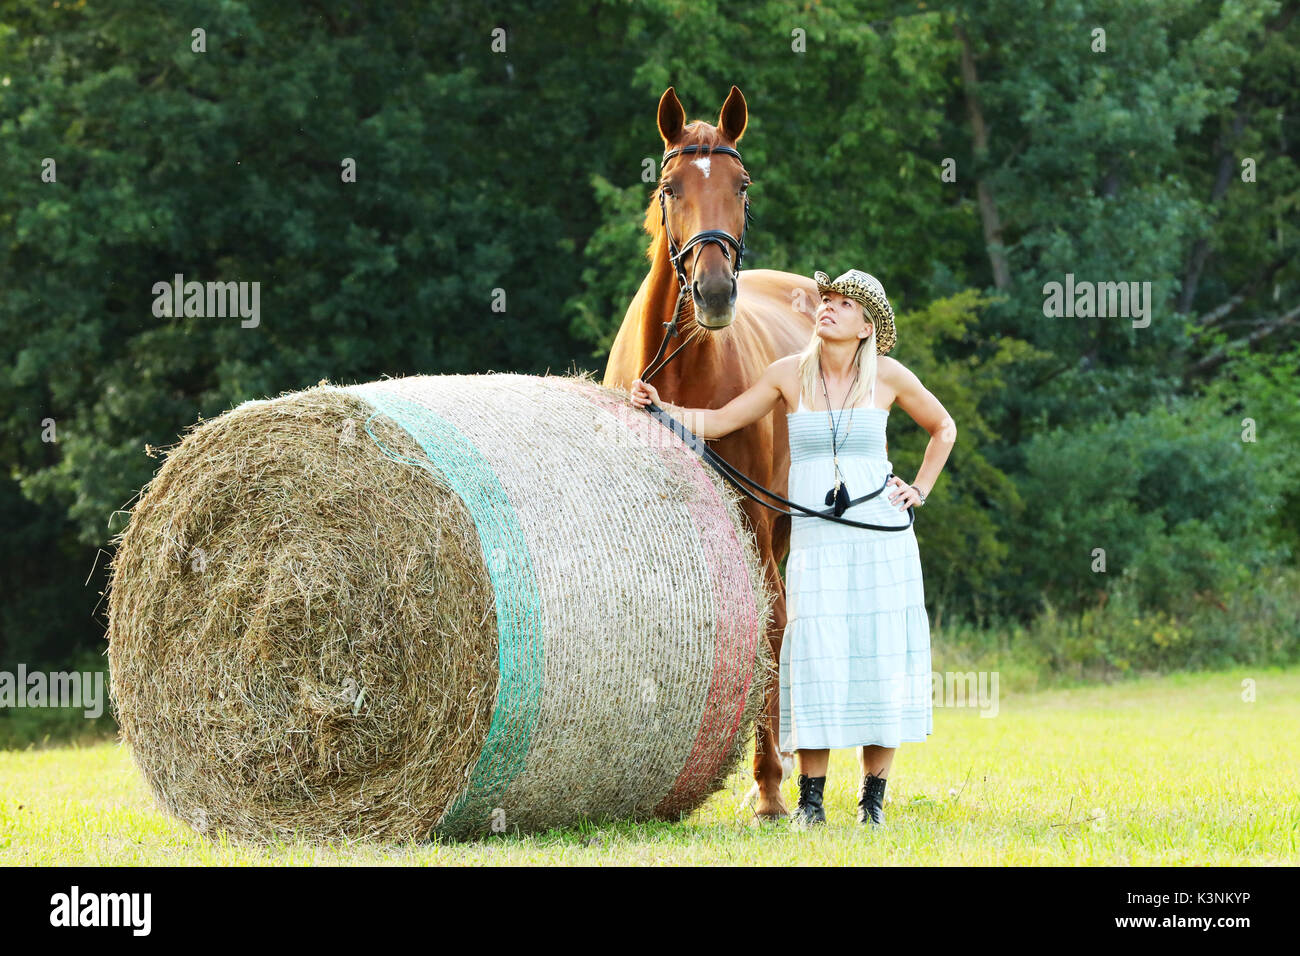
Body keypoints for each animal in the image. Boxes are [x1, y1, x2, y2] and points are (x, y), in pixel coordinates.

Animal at [603, 83, 816, 822]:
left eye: (741, 185)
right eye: (671, 187)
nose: (716, 291)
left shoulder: (751, 516)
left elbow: (769, 628)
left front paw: (771, 786)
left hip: (782, 523)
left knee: (784, 620)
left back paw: (782, 775)